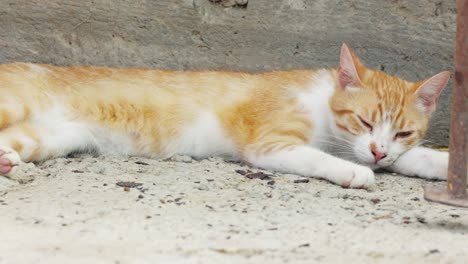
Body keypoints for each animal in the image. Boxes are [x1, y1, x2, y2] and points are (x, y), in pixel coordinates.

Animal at [0, 43, 450, 188]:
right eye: (365, 121)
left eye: (404, 132)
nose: (378, 152)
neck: (322, 105)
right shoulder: (269, 143)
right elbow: (319, 157)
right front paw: (355, 171)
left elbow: (411, 159)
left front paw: (442, 164)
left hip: (51, 137)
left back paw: (7, 162)